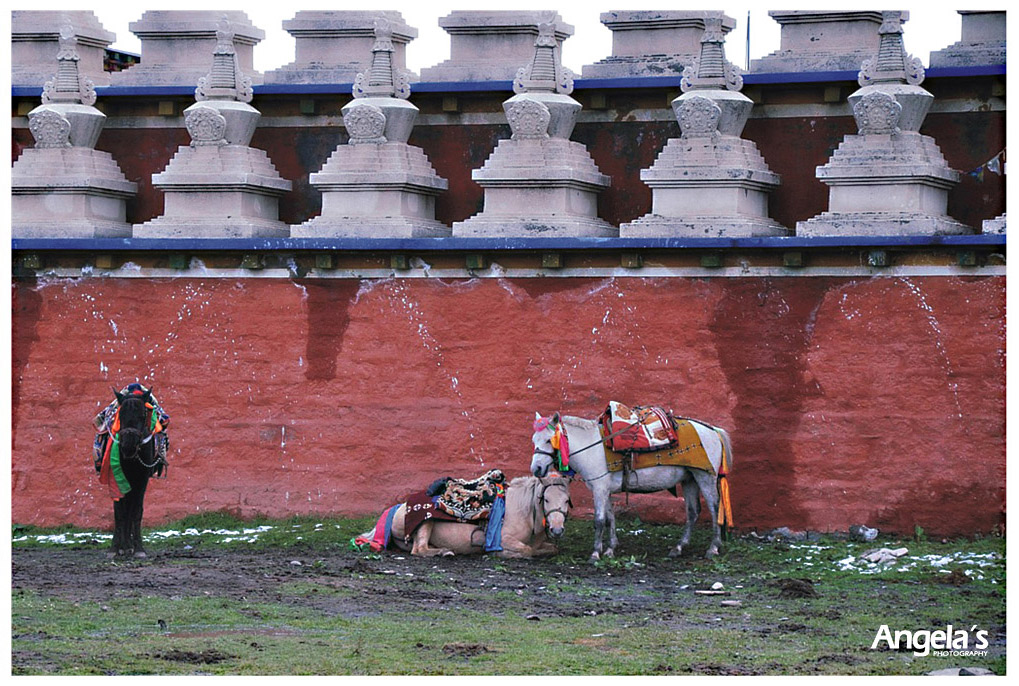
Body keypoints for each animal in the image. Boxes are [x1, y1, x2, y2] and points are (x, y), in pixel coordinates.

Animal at [109, 387, 163, 558]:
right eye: (121, 414)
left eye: (143, 415)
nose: (128, 446)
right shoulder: (116, 477)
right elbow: (119, 512)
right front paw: (114, 548)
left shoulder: (142, 479)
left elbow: (136, 511)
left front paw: (138, 548)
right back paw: (123, 546)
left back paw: (129, 545)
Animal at [358, 472, 570, 558]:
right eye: (546, 499)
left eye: (567, 500)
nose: (557, 530)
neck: (524, 511)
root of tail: (396, 508)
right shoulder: (503, 538)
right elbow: (526, 550)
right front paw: (499, 553)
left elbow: (551, 549)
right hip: (425, 523)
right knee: (419, 549)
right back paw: (444, 552)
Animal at [529, 411, 737, 562]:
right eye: (534, 440)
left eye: (548, 440)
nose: (536, 469)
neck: (592, 447)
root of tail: (713, 430)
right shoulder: (605, 490)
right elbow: (610, 518)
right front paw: (610, 548)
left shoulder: (599, 489)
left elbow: (599, 520)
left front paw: (595, 553)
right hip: (690, 479)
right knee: (693, 512)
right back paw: (678, 547)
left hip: (705, 477)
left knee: (714, 509)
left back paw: (713, 547)